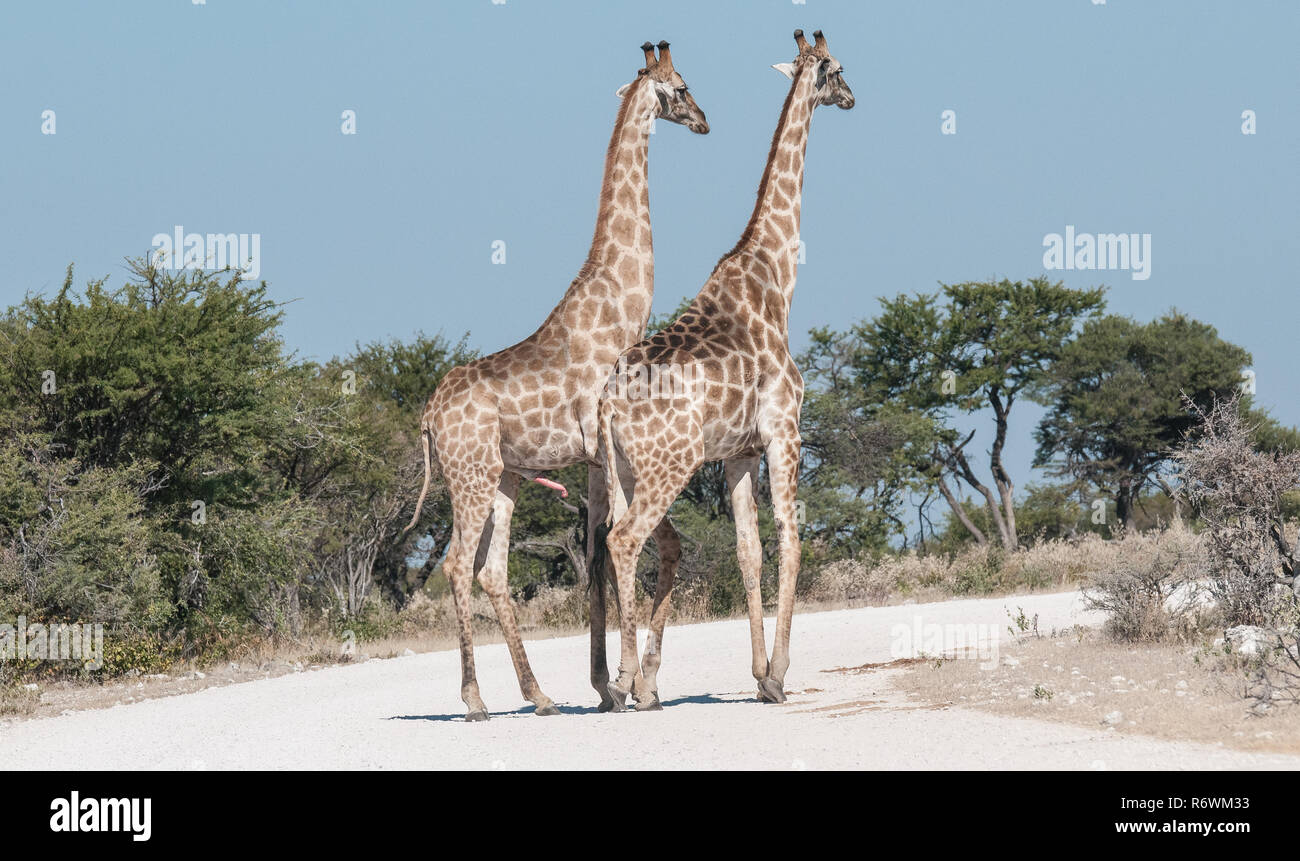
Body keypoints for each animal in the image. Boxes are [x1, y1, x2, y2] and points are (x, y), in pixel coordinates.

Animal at [402, 42, 707, 722]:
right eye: (681, 86)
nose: (705, 121)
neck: (621, 303)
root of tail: (429, 416)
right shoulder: (600, 451)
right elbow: (605, 552)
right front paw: (615, 687)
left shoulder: (591, 459)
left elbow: (596, 554)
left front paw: (606, 687)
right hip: (471, 476)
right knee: (457, 566)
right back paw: (475, 701)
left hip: (505, 476)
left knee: (490, 571)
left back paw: (539, 696)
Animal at [597, 29, 854, 710]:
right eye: (838, 67)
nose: (852, 97)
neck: (777, 279)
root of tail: (607, 401)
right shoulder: (785, 430)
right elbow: (791, 538)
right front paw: (780, 675)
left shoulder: (738, 452)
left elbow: (747, 551)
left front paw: (760, 673)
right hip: (669, 465)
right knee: (624, 540)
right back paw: (629, 685)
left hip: (622, 468)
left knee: (611, 541)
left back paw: (624, 681)